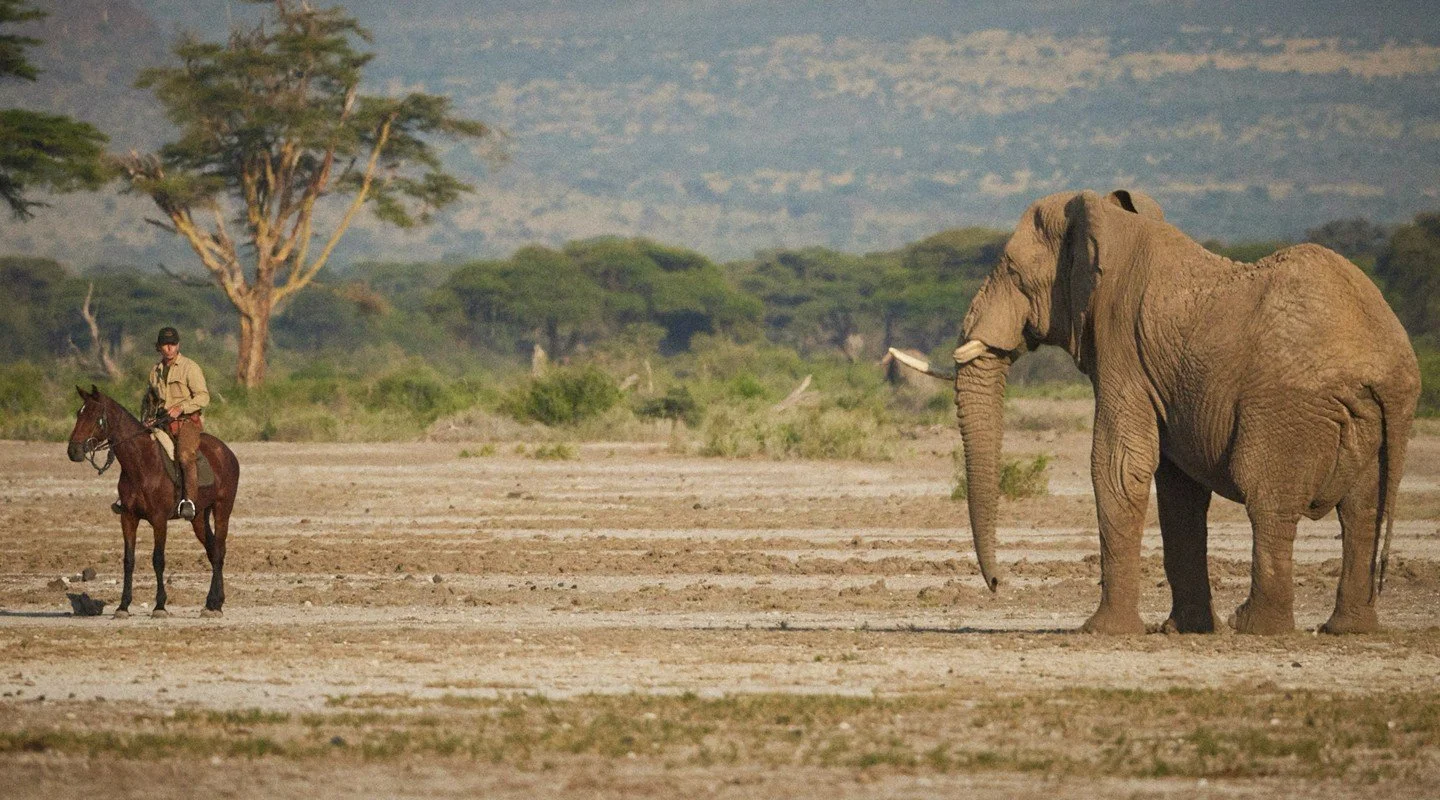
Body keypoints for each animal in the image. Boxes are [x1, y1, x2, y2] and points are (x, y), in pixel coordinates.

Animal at [891, 189, 1420, 635]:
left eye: (1015, 273)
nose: (998, 584)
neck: (1110, 221)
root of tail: (1392, 371)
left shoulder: (1121, 342)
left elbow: (1118, 464)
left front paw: (1102, 631)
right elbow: (1177, 488)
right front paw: (1185, 630)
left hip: (1288, 407)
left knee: (1268, 499)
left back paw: (1256, 626)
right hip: (1365, 420)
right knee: (1362, 509)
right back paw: (1347, 629)